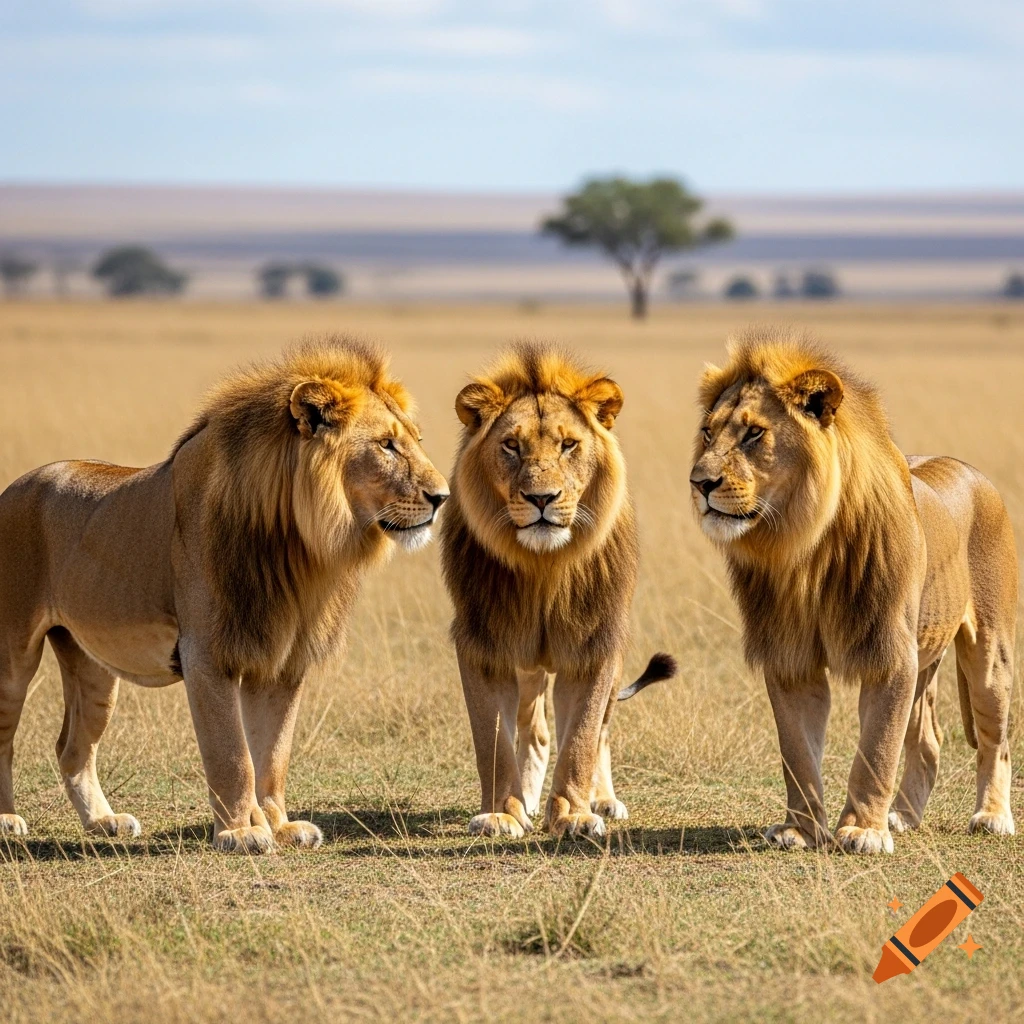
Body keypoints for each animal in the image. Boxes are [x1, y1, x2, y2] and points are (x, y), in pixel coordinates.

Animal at [0, 338, 448, 852]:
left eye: (415, 439)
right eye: (386, 444)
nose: (443, 498)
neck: (300, 545)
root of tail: (12, 488)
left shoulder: (281, 660)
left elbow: (273, 753)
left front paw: (278, 825)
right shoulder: (206, 653)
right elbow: (232, 755)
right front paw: (240, 832)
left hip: (92, 664)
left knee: (72, 746)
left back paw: (103, 822)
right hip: (12, 652)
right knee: (6, 733)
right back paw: (7, 820)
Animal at [440, 342, 675, 839]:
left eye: (569, 445)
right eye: (512, 445)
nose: (542, 499)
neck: (543, 567)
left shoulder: (595, 644)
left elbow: (582, 737)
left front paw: (573, 814)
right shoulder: (483, 644)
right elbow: (492, 739)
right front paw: (503, 814)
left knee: (601, 730)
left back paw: (603, 799)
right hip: (527, 662)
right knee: (535, 729)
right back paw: (528, 799)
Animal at [690, 327, 1017, 854]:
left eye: (754, 433)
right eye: (706, 432)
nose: (699, 483)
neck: (803, 547)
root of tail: (968, 468)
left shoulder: (890, 655)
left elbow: (876, 749)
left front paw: (863, 830)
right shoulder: (790, 657)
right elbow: (798, 752)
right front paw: (801, 830)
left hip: (989, 652)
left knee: (996, 738)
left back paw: (991, 816)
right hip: (926, 656)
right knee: (928, 739)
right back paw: (903, 815)